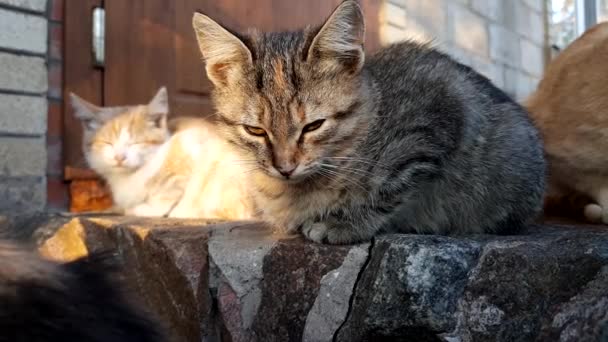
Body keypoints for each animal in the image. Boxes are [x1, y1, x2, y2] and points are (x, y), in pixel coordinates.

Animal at [70, 87, 254, 219]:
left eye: (136, 143)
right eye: (107, 143)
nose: (119, 157)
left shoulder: (191, 143)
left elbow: (168, 192)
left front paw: (143, 209)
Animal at [194, 1, 548, 244]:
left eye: (313, 126)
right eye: (255, 130)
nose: (285, 167)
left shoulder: (436, 118)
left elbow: (388, 189)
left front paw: (347, 223)